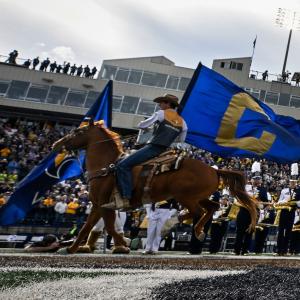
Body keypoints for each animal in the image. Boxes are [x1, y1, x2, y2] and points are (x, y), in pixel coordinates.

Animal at [52, 118, 256, 254]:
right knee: (210, 207)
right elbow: (87, 227)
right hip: (198, 196)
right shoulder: (98, 205)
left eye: (78, 132)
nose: (56, 144)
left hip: (185, 196)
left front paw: (122, 245)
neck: (108, 167)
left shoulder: (103, 204)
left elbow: (109, 227)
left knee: (197, 212)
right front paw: (72, 248)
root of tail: (214, 170)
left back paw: (179, 224)